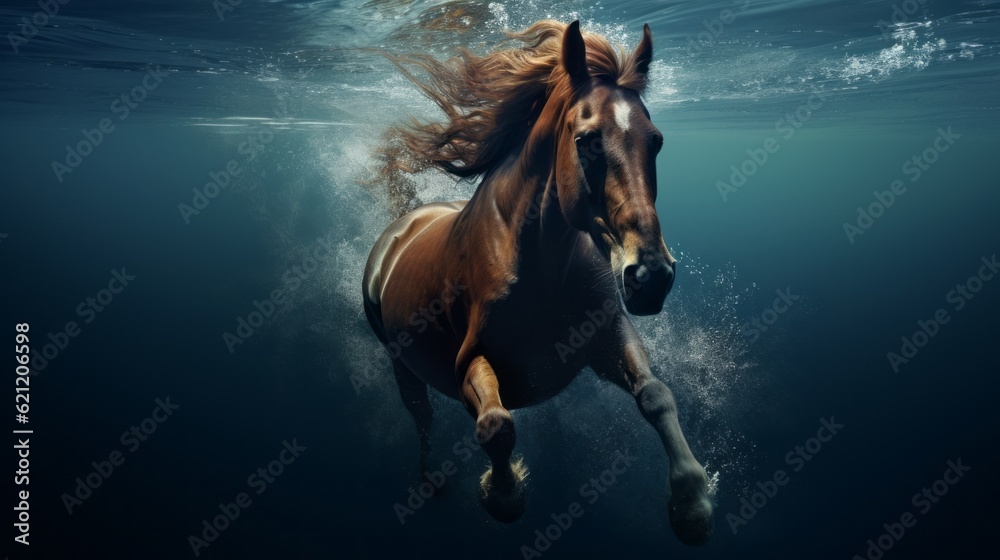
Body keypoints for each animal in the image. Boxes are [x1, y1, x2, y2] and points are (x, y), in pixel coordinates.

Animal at [362, 20, 714, 545]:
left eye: (655, 141)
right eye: (587, 140)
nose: (651, 276)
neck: (541, 265)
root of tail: (402, 227)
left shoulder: (606, 337)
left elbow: (656, 395)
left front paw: (692, 502)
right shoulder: (468, 361)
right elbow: (496, 425)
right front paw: (502, 492)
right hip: (401, 364)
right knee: (421, 418)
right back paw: (432, 482)